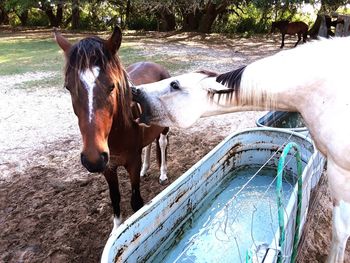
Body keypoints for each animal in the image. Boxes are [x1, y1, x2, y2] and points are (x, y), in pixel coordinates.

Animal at [53, 26, 171, 232]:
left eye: (111, 86)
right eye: (68, 87)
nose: (92, 158)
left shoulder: (132, 162)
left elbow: (136, 202)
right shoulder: (108, 167)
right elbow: (115, 198)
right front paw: (116, 230)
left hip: (164, 126)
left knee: (163, 143)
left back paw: (163, 173)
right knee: (149, 144)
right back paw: (146, 169)